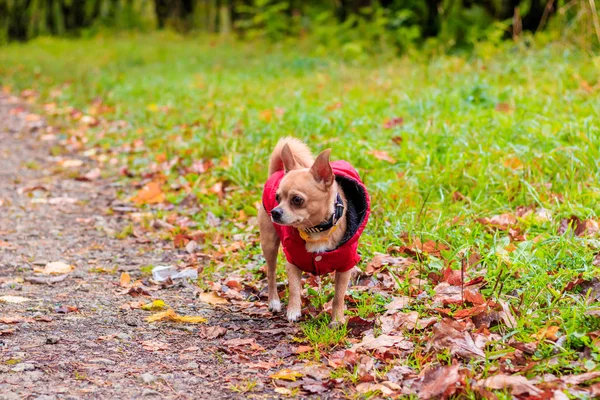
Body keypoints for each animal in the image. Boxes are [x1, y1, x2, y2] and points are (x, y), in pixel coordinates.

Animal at [258, 137, 370, 322]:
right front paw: (293, 311)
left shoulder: (345, 266)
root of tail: (277, 171)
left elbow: (339, 296)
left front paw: (337, 319)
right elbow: (294, 289)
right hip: (269, 243)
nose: (275, 211)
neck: (315, 230)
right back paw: (274, 301)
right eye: (277, 198)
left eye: (297, 200)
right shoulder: (292, 262)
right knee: (271, 273)